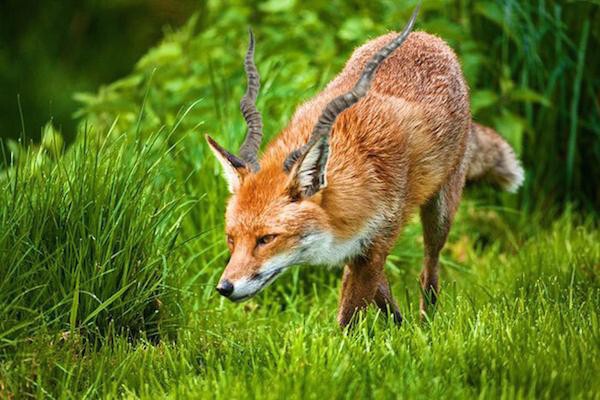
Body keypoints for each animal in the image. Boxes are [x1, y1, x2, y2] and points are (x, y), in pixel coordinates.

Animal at [207, 7, 524, 328]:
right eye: (231, 239)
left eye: (266, 239)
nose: (224, 287)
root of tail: (428, 36)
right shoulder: (357, 248)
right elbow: (379, 296)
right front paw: (399, 329)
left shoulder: (376, 242)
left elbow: (349, 318)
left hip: (441, 212)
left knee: (429, 272)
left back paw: (427, 324)